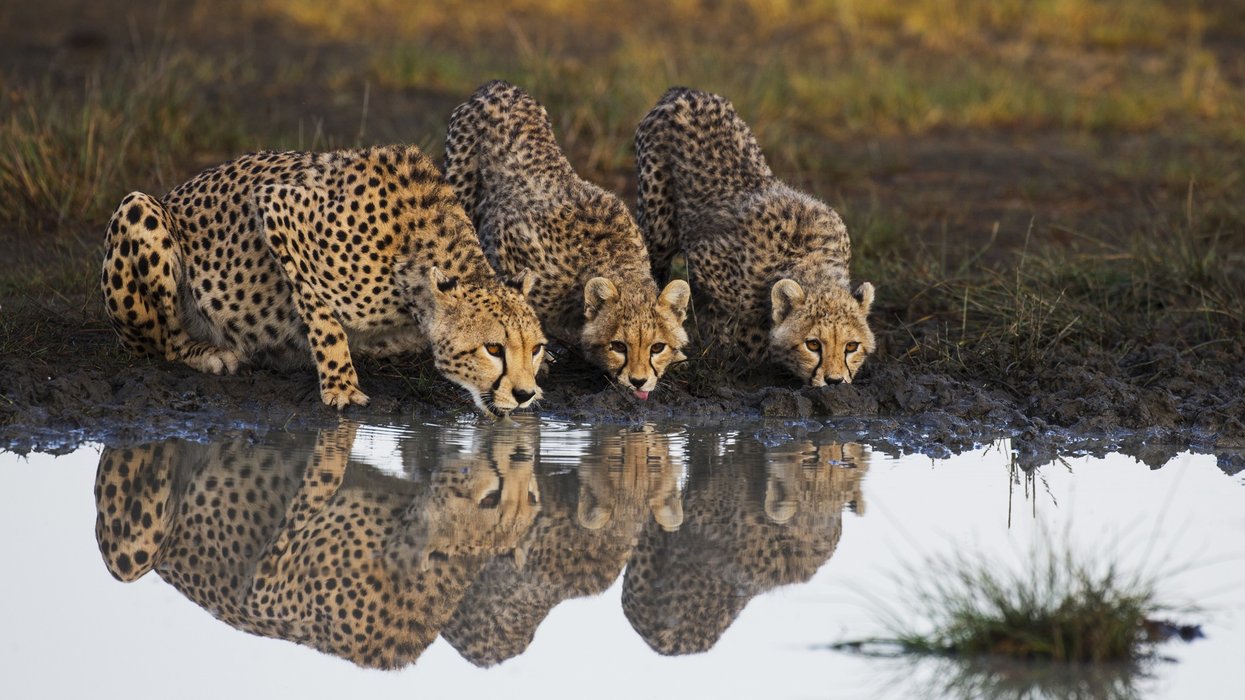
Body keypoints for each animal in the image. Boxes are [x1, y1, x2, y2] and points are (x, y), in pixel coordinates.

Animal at [100, 145, 545, 416]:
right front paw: (341, 386)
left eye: (536, 348)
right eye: (493, 348)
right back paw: (207, 352)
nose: (524, 394)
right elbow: (324, 317)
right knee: (164, 341)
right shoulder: (277, 207)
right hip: (139, 207)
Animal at [444, 80, 690, 400]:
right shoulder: (508, 242)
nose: (639, 382)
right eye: (619, 346)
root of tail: (499, 86)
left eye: (657, 347)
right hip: (460, 188)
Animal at [635, 87, 877, 386]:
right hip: (659, 225)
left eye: (851, 346)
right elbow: (726, 320)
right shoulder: (705, 259)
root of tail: (685, 91)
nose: (834, 381)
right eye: (813, 344)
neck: (808, 258)